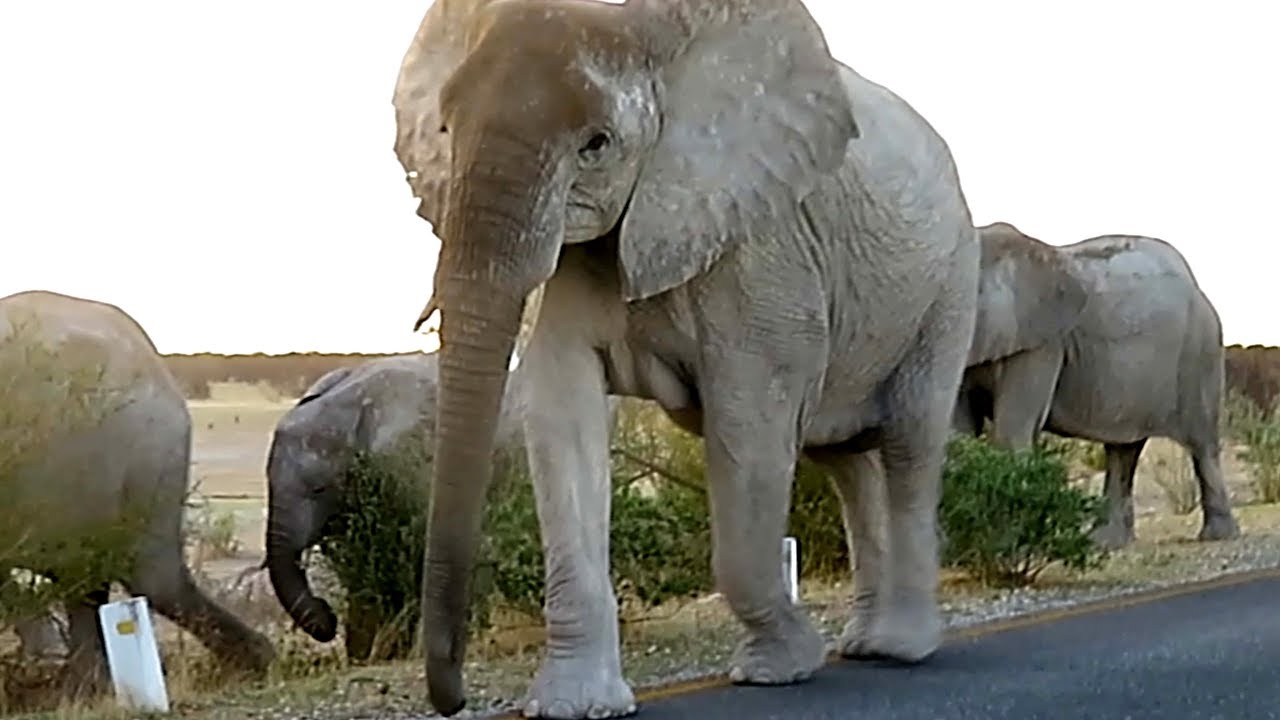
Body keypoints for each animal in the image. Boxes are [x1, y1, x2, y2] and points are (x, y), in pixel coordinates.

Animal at [394, 2, 983, 712]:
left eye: (596, 144)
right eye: (444, 129)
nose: (453, 700)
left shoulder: (762, 244)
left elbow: (750, 420)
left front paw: (781, 666)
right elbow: (561, 413)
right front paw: (574, 704)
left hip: (950, 282)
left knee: (909, 442)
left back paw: (901, 649)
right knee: (848, 463)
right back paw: (864, 644)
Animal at [952, 221, 1239, 545]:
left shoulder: (1043, 342)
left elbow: (1011, 429)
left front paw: (1006, 541)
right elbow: (957, 431)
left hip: (1200, 351)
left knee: (1202, 444)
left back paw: (1217, 536)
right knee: (1123, 450)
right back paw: (1107, 542)